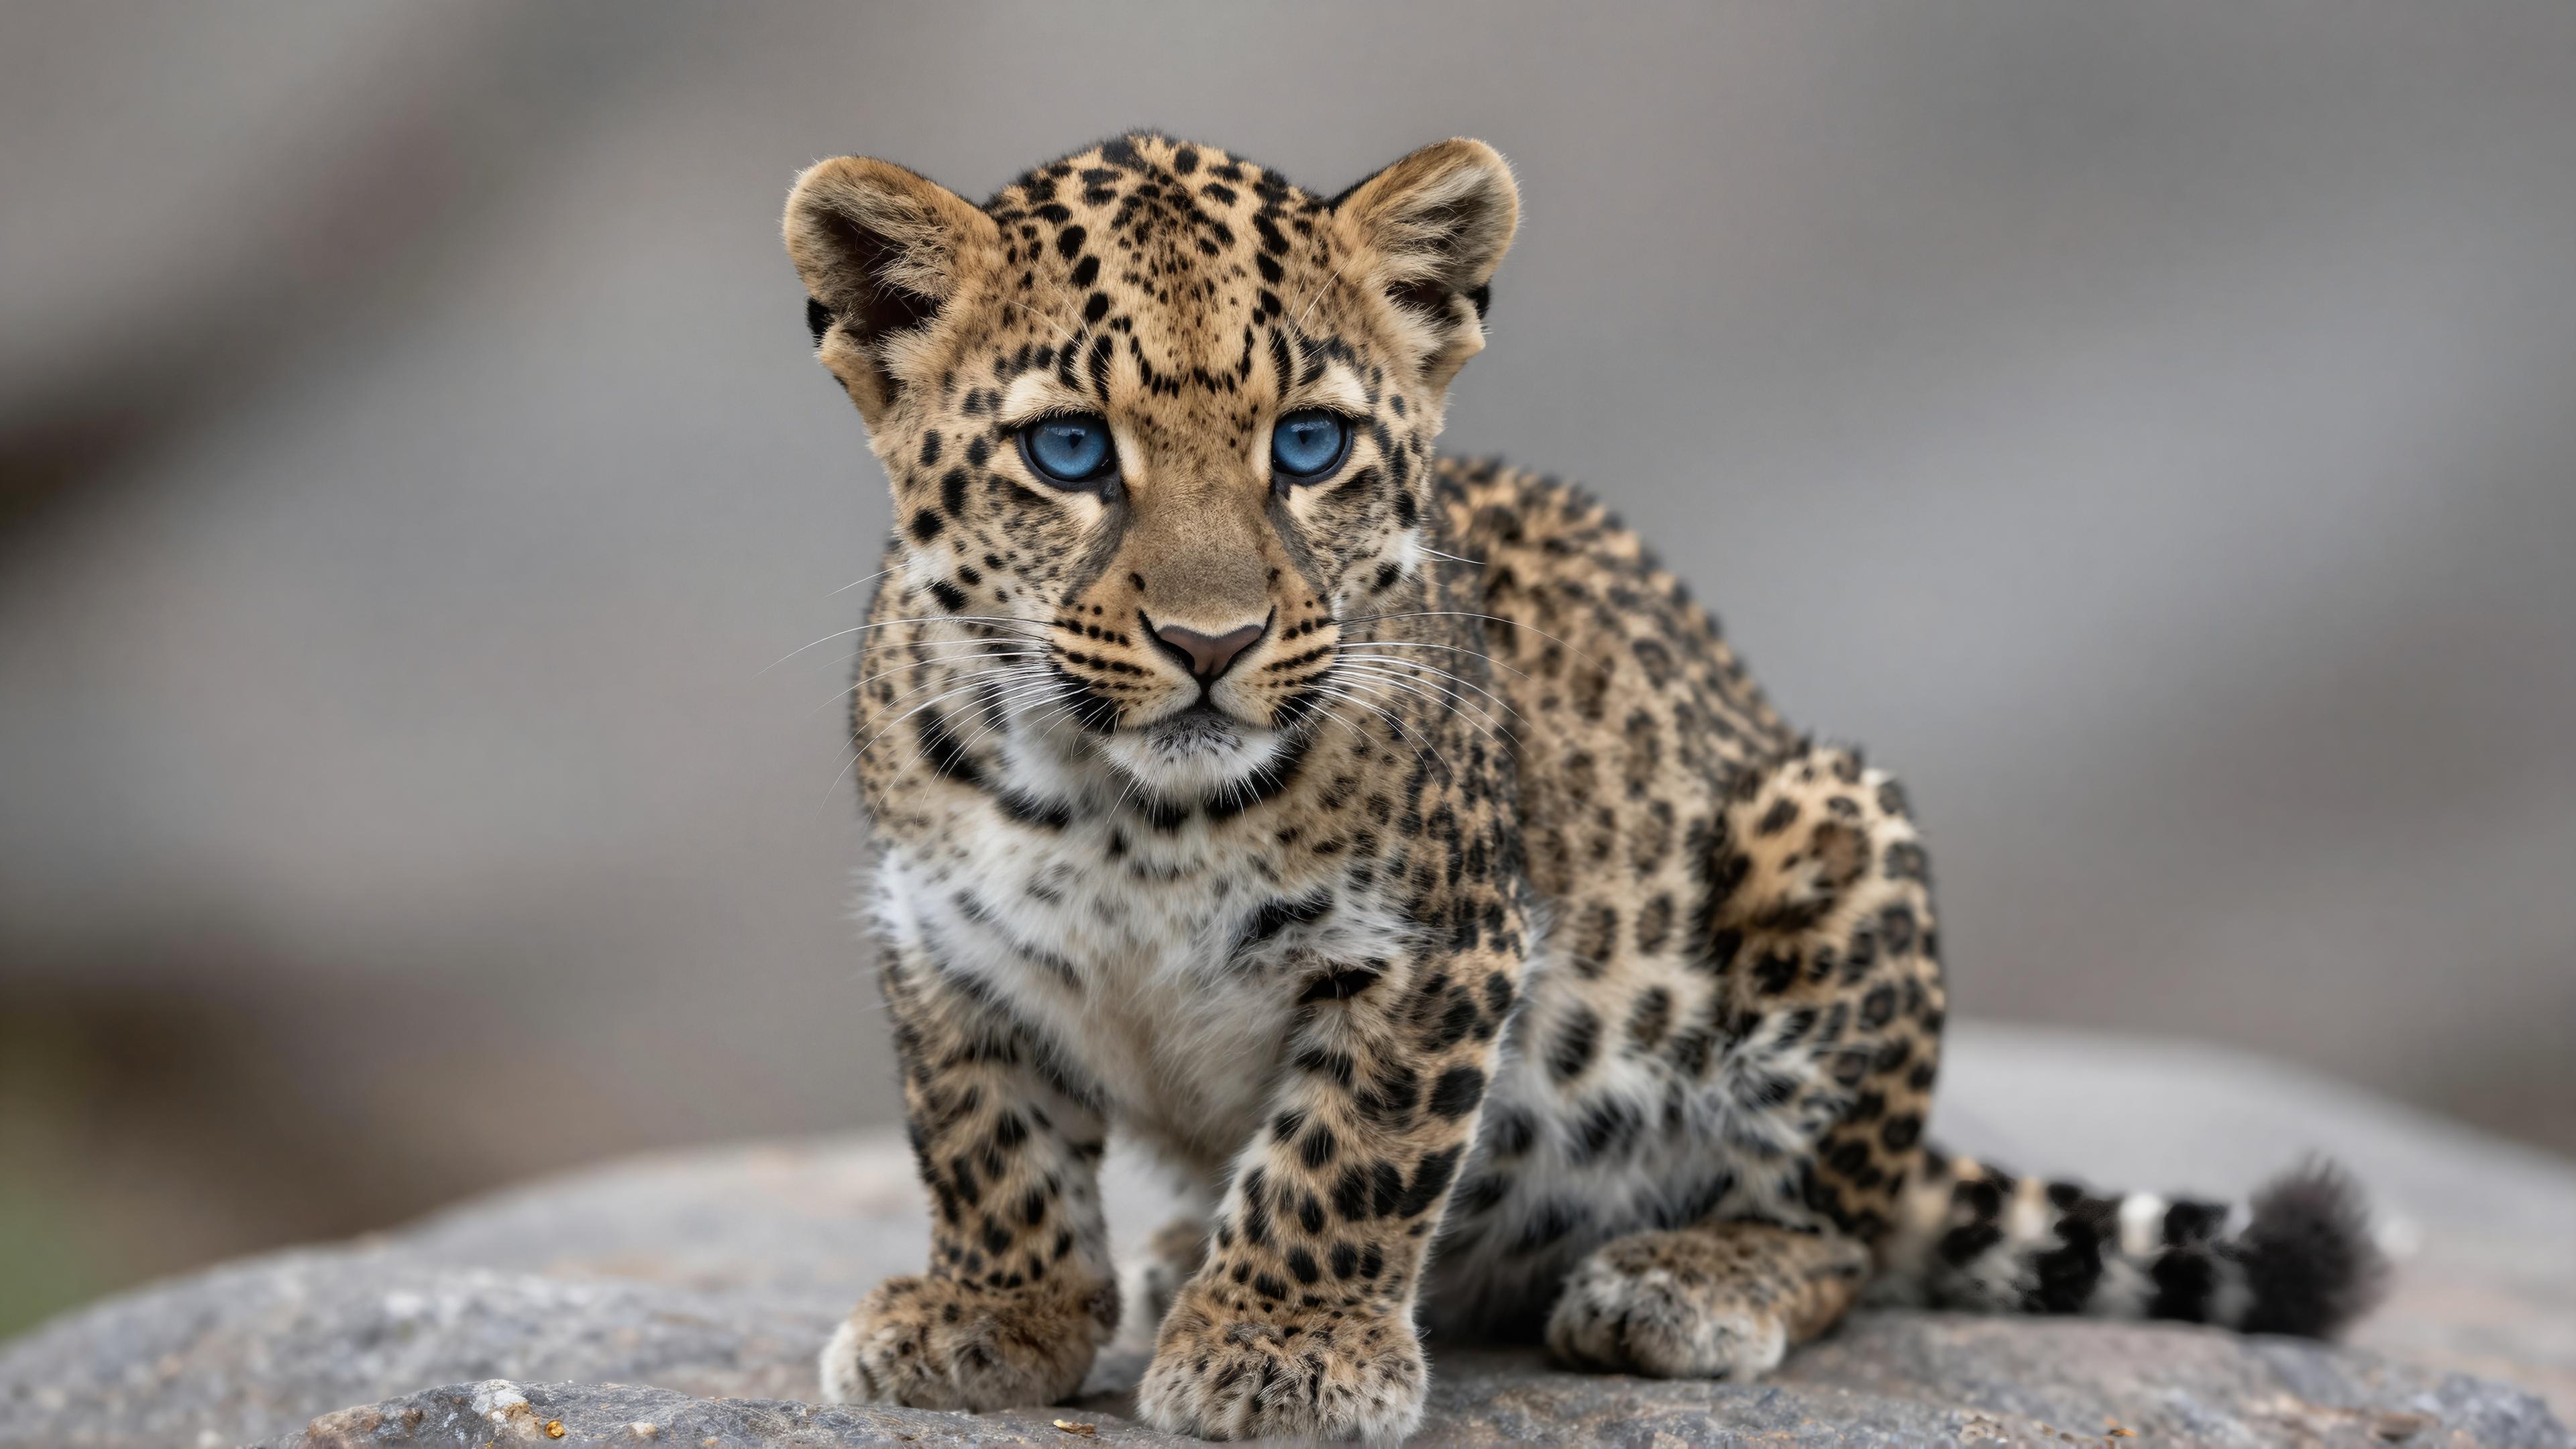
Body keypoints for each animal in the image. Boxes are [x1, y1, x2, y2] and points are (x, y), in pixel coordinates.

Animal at [779, 132, 2387, 1443]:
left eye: (1309, 444)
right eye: (1067, 451)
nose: (1211, 642)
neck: (1127, 807)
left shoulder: (1435, 946)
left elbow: (1345, 1157)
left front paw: (1283, 1351)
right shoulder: (943, 940)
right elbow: (988, 1145)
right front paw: (996, 1318)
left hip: (1829, 839)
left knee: (1838, 1235)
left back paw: (1683, 1281)